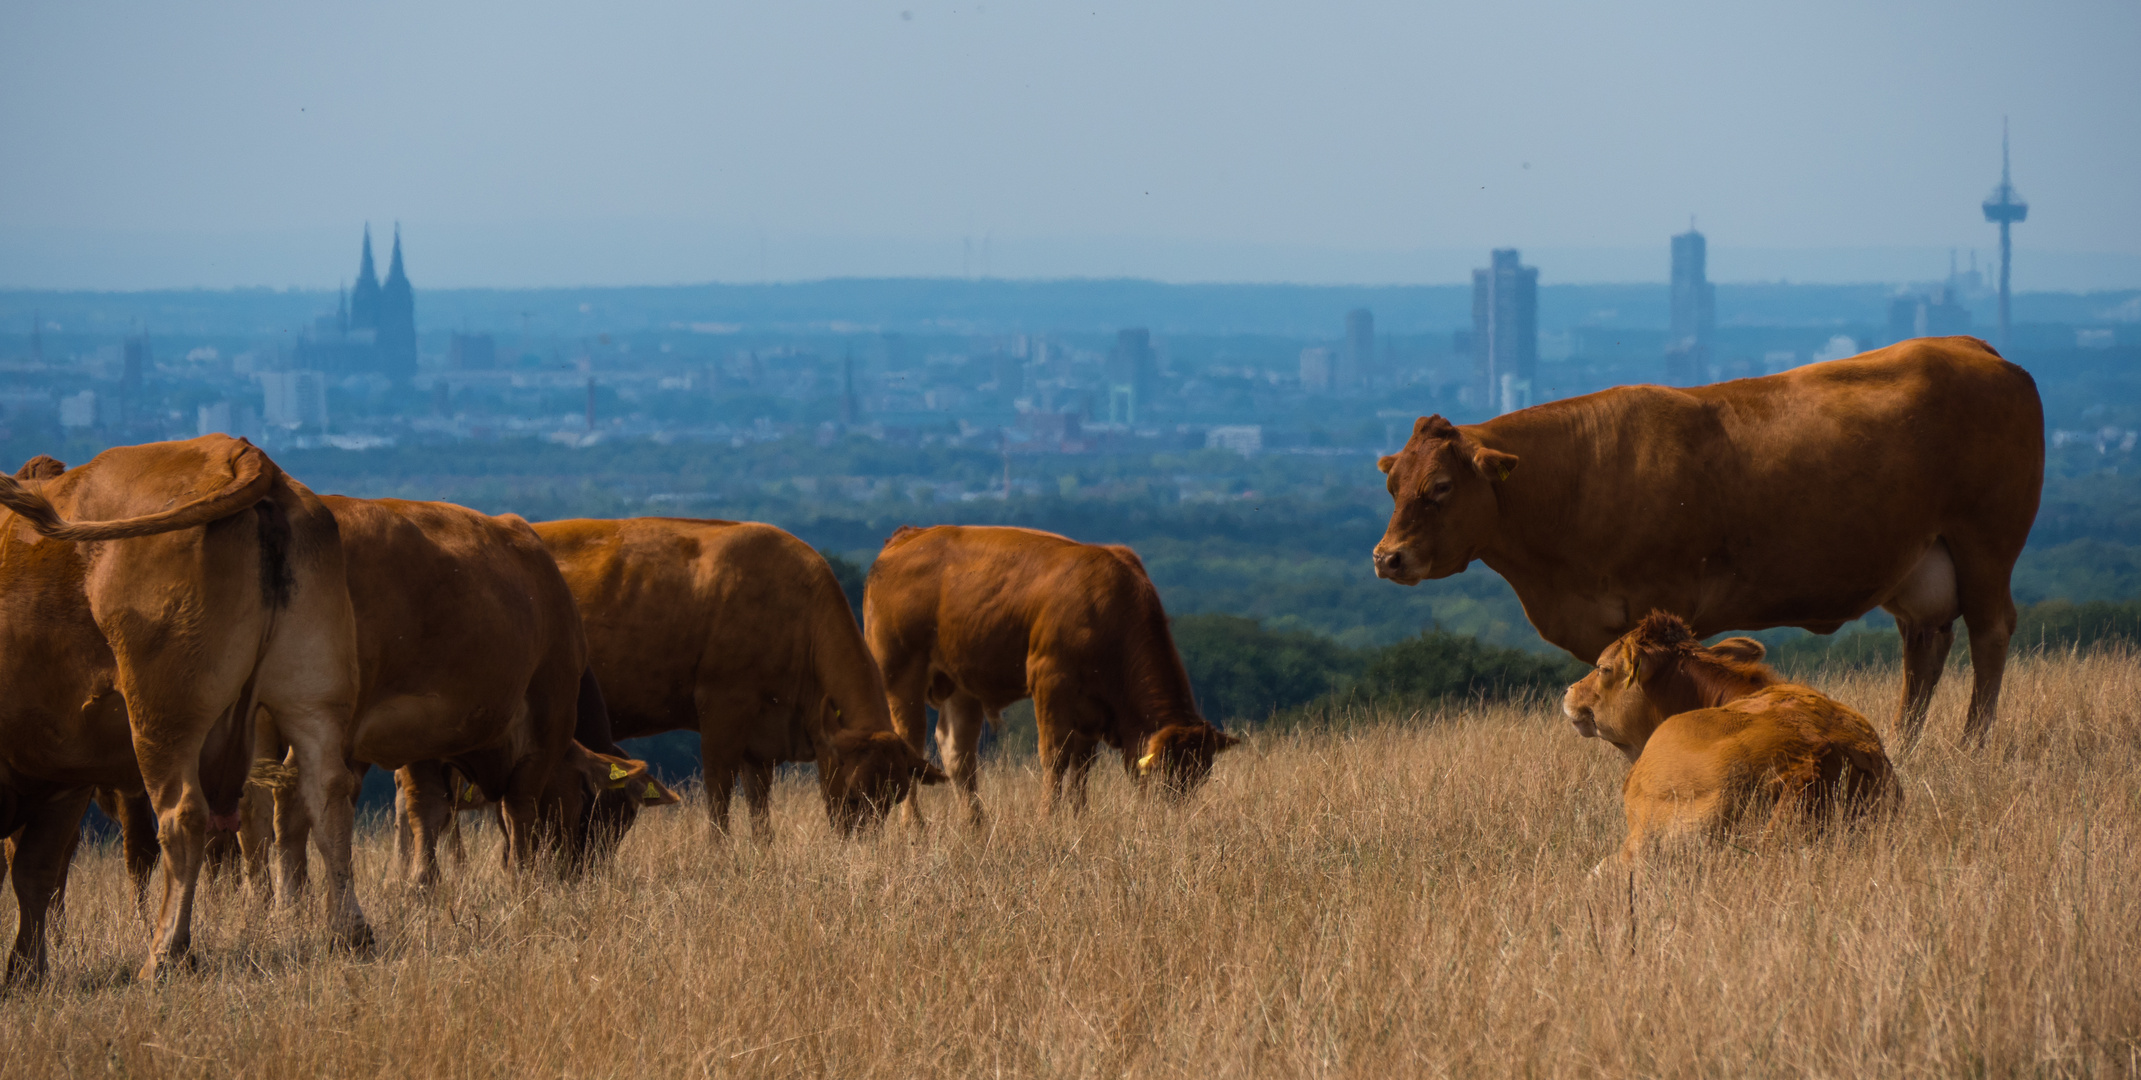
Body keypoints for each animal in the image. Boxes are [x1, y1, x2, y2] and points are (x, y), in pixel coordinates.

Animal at [0, 437, 368, 977]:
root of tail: (236, 452)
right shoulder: (60, 774)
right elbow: (35, 872)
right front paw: (27, 971)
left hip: (162, 719)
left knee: (183, 817)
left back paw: (165, 954)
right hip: (313, 697)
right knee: (328, 797)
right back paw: (351, 935)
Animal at [530, 516, 942, 844]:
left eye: (893, 799)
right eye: (855, 794)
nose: (860, 846)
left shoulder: (760, 740)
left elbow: (759, 808)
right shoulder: (723, 708)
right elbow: (719, 792)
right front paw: (719, 852)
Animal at [864, 525, 1241, 827]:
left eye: (1200, 776)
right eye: (1166, 773)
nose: (1174, 816)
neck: (1109, 608)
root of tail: (907, 537)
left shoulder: (1092, 710)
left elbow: (1081, 766)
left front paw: (1079, 817)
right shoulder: (1050, 681)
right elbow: (1055, 757)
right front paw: (1048, 818)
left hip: (960, 683)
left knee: (958, 754)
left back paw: (975, 823)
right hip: (900, 675)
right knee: (911, 744)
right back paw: (913, 826)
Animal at [1370, 338, 2038, 741]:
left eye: (1440, 487)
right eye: (1393, 483)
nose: (1386, 557)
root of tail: (1974, 348)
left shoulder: (1662, 598)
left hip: (1987, 545)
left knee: (1990, 633)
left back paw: (1975, 742)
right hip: (1917, 566)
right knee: (1924, 647)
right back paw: (1905, 740)